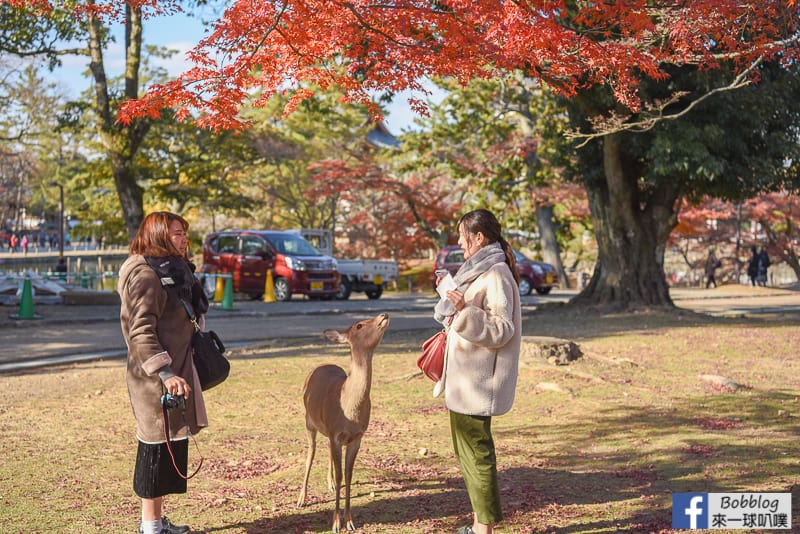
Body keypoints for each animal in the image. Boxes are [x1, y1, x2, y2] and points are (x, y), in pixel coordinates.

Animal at [296, 314, 390, 532]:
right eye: (359, 325)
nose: (383, 315)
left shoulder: (356, 437)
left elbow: (347, 475)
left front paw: (350, 521)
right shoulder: (336, 435)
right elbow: (341, 476)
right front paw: (336, 523)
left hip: (326, 430)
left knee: (327, 451)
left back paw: (329, 484)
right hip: (308, 421)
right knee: (310, 453)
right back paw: (301, 499)